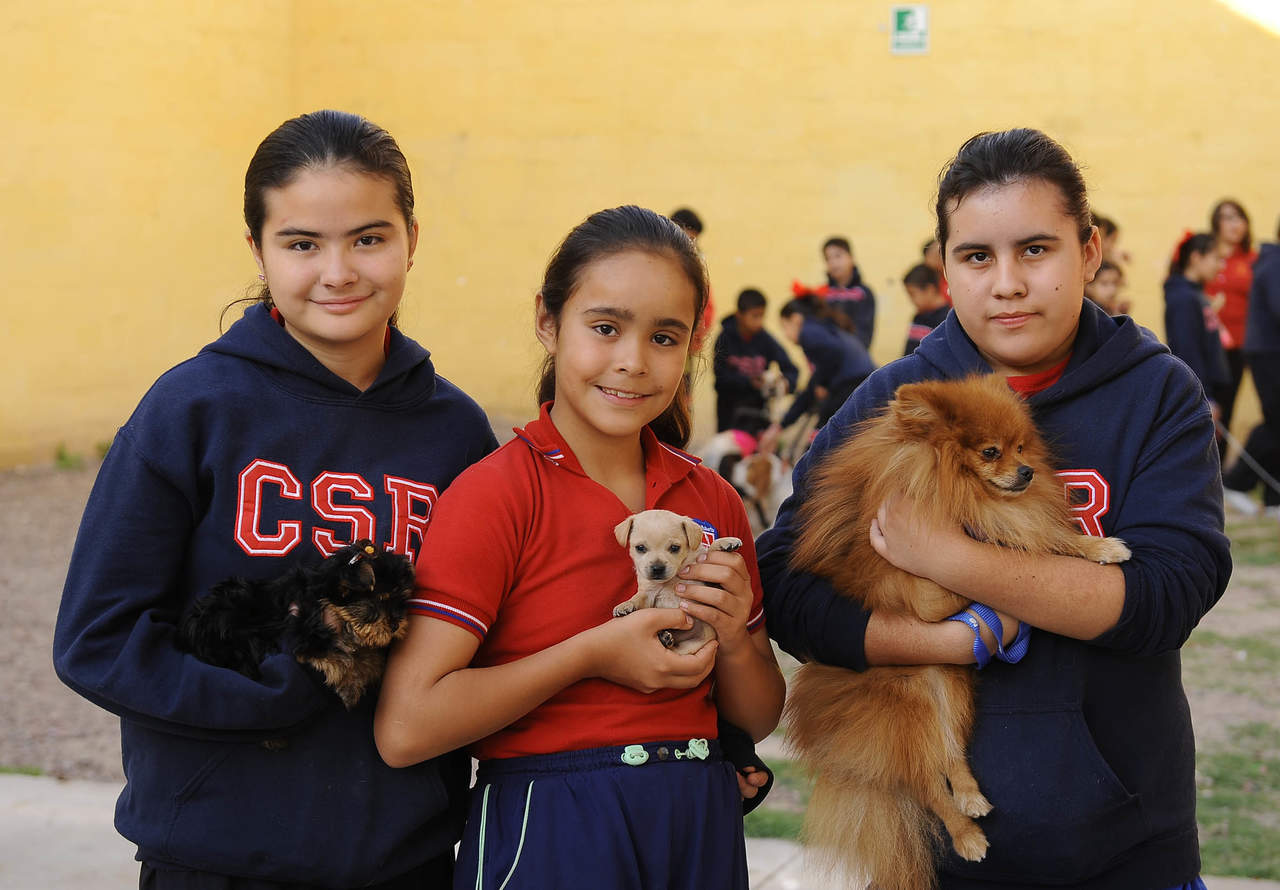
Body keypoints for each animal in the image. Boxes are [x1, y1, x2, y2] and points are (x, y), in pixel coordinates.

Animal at [177, 539, 414, 710]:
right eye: (374, 604)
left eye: (400, 602)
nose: (395, 625)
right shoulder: (304, 633)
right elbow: (333, 658)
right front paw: (348, 681)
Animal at [612, 509, 742, 655]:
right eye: (640, 548)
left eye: (674, 548)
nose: (657, 568)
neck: (673, 578)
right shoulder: (648, 593)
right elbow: (638, 598)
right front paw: (626, 605)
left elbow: (707, 552)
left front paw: (724, 542)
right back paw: (664, 638)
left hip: (695, 642)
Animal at [785, 374, 1131, 890]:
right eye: (991, 451)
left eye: (1022, 446)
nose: (1027, 472)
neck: (958, 488)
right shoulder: (917, 585)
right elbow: (980, 571)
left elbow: (1048, 540)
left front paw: (1098, 546)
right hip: (907, 716)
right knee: (928, 787)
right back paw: (966, 836)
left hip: (949, 695)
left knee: (949, 757)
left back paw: (972, 798)